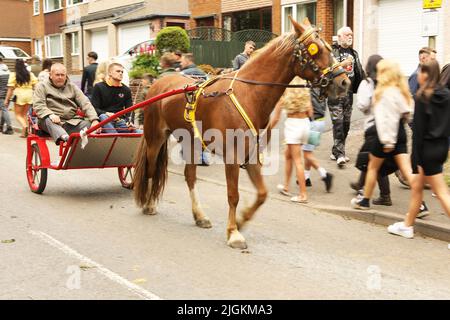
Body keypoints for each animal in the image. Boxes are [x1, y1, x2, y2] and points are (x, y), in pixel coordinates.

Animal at [132, 18, 350, 250]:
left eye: (329, 47)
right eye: (315, 48)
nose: (344, 82)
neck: (249, 94)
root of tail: (157, 84)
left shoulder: (252, 156)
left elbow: (262, 194)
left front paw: (242, 219)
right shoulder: (233, 158)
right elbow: (233, 195)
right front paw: (233, 232)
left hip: (191, 143)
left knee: (190, 177)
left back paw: (199, 215)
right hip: (155, 138)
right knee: (151, 170)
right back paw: (149, 204)